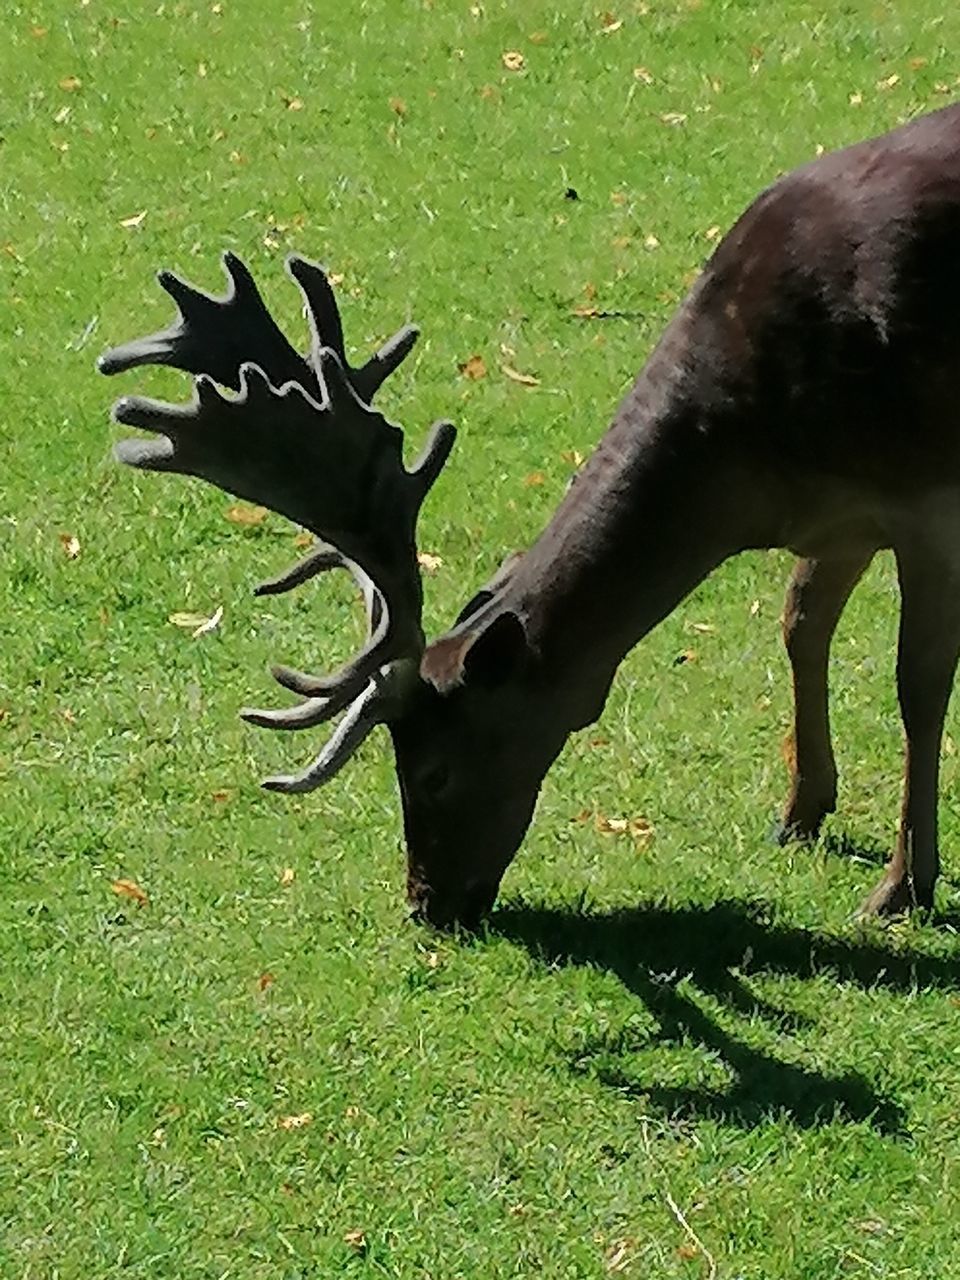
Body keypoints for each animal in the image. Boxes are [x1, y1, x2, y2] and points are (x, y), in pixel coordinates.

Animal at [99, 97, 960, 921]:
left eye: (434, 771)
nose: (426, 904)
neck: (761, 448)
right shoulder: (836, 515)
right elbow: (801, 627)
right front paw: (801, 812)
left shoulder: (923, 497)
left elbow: (917, 682)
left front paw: (903, 886)